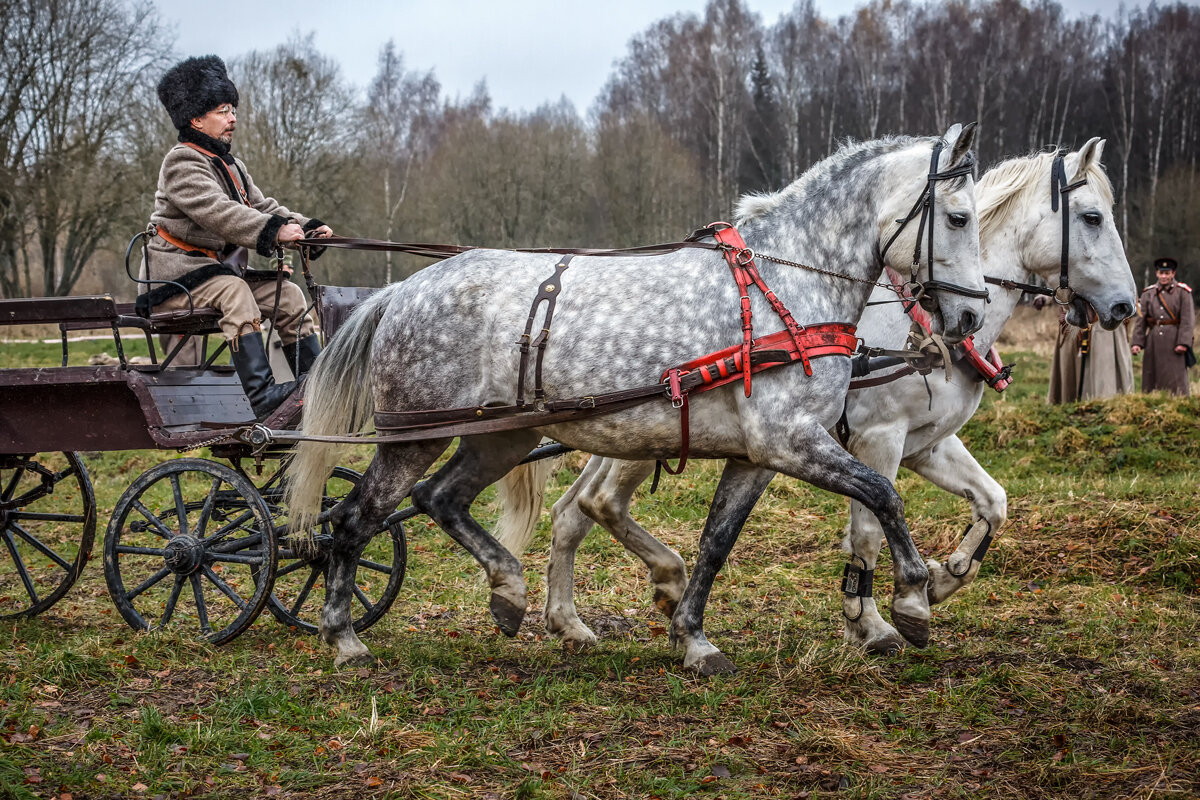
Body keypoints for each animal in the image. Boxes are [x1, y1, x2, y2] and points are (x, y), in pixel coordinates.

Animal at [288, 123, 984, 676]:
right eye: (958, 217)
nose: (972, 317)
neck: (785, 282)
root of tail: (401, 290)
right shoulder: (791, 441)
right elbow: (884, 494)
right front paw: (914, 599)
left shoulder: (757, 457)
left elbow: (716, 542)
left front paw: (693, 637)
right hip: (416, 434)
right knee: (353, 519)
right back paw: (344, 637)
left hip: (502, 436)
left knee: (440, 498)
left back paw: (509, 592)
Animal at [494, 136, 1132, 662]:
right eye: (1093, 217)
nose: (1126, 305)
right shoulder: (878, 438)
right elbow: (871, 525)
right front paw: (880, 617)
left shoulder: (926, 444)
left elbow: (993, 501)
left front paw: (944, 576)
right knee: (598, 502)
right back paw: (654, 586)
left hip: (623, 432)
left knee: (573, 510)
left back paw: (574, 619)